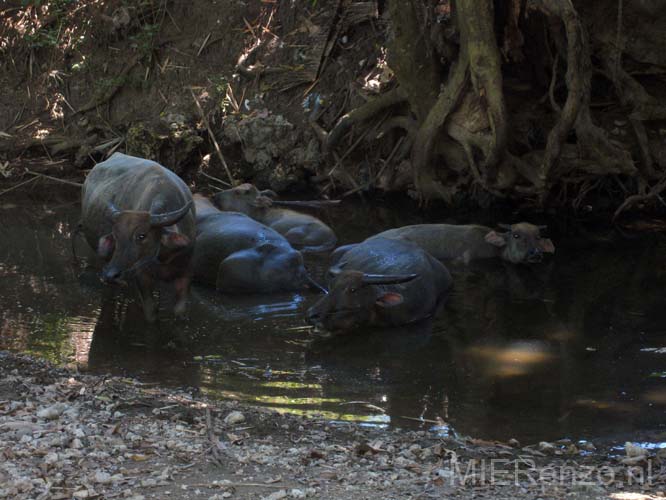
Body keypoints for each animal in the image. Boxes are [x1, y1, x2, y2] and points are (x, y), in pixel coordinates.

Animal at [80, 154, 195, 322]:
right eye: (115, 236)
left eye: (141, 235)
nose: (110, 274)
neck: (163, 257)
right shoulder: (142, 277)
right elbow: (150, 312)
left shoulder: (185, 272)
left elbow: (179, 311)